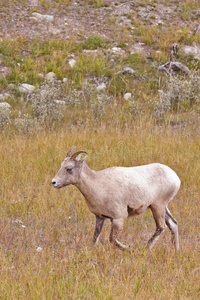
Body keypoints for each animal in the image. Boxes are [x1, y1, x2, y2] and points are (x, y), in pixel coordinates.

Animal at [51, 146, 180, 250]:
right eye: (62, 166)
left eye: (69, 169)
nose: (54, 182)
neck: (98, 185)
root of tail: (175, 178)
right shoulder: (100, 218)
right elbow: (95, 238)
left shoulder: (118, 219)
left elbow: (112, 240)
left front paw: (129, 248)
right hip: (162, 207)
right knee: (173, 224)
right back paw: (175, 250)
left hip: (157, 206)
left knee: (161, 227)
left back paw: (146, 249)